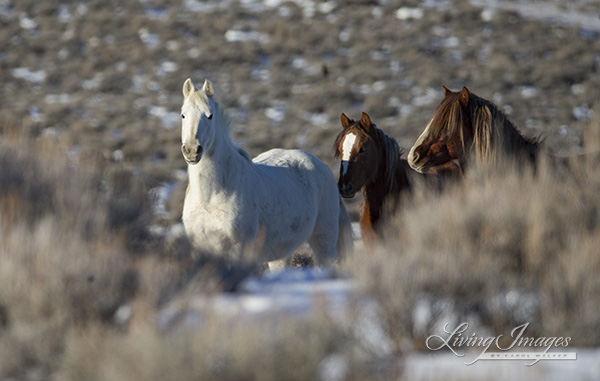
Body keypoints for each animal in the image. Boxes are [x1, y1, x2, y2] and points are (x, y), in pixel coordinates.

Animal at [180, 78, 354, 264]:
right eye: (183, 115)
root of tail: (323, 167)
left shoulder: (238, 250)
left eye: (210, 115)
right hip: (281, 254)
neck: (210, 196)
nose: (191, 150)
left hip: (324, 242)